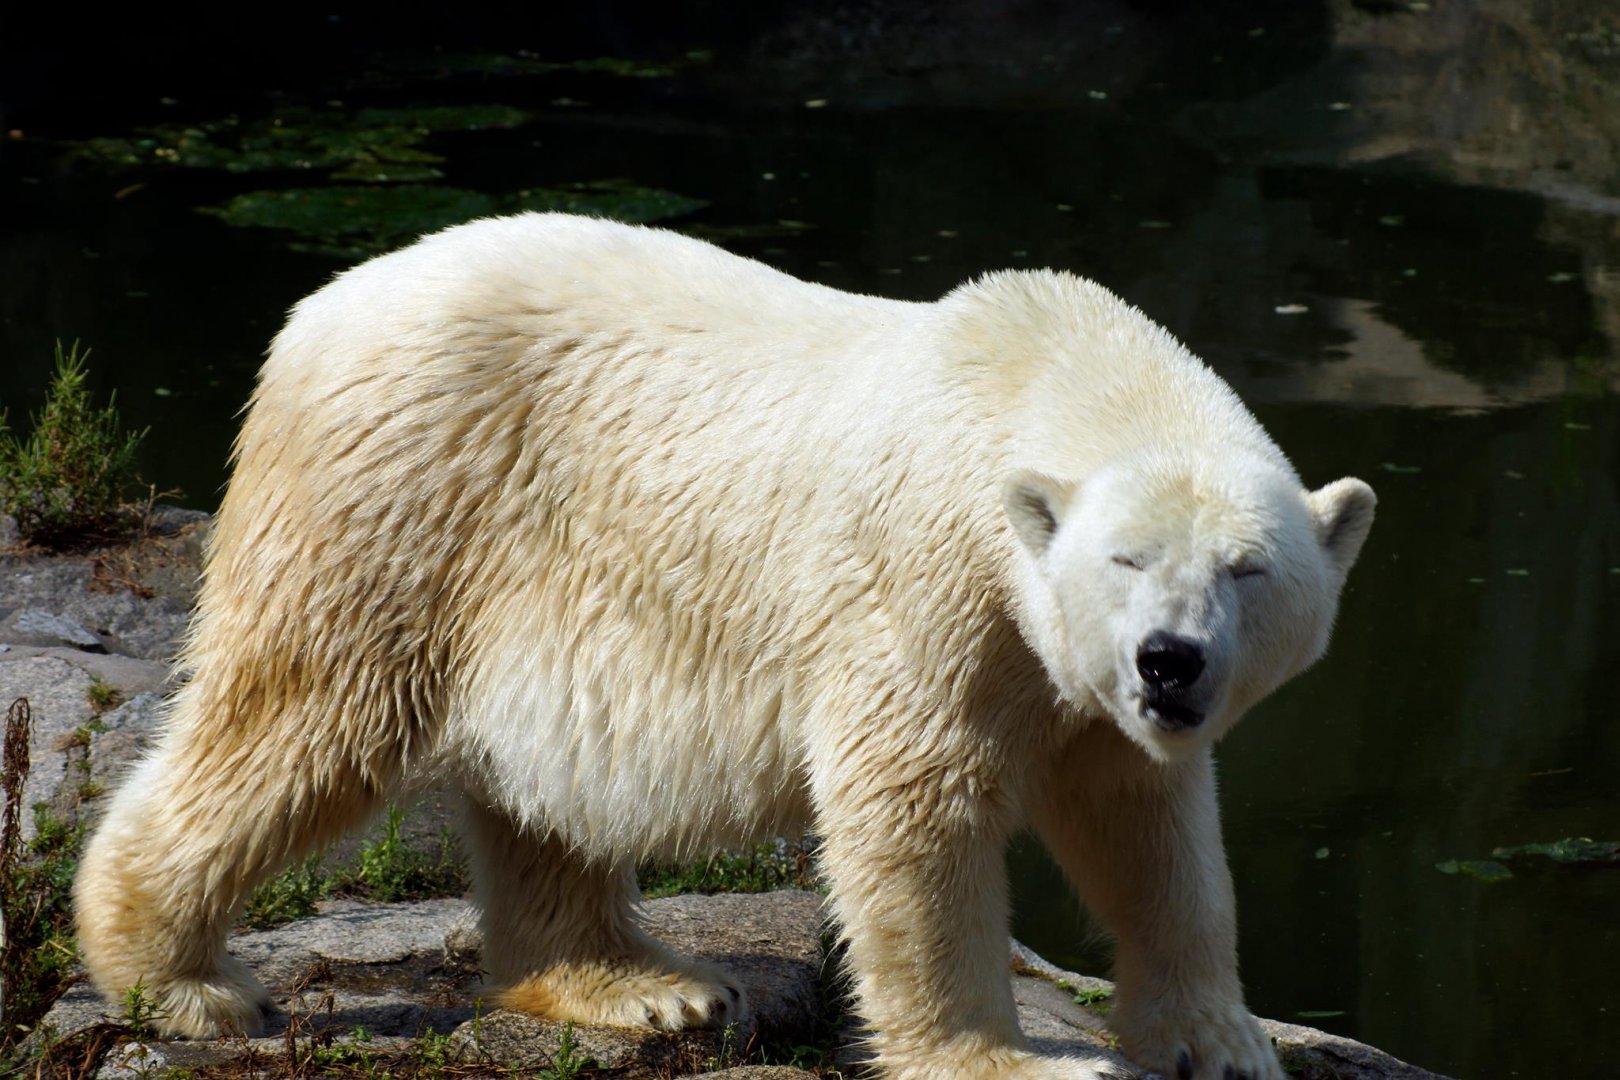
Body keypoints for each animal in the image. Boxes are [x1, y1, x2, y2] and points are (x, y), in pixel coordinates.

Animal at [74, 212, 1374, 1080]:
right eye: (1126, 561)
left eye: (1247, 571)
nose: (1170, 660)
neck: (1035, 371)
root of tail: (315, 314)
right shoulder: (926, 587)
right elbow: (913, 813)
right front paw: (1004, 1058)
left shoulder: (1068, 681)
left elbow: (1143, 828)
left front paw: (1220, 1040)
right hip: (400, 502)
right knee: (304, 718)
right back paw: (181, 983)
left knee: (541, 792)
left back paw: (649, 990)